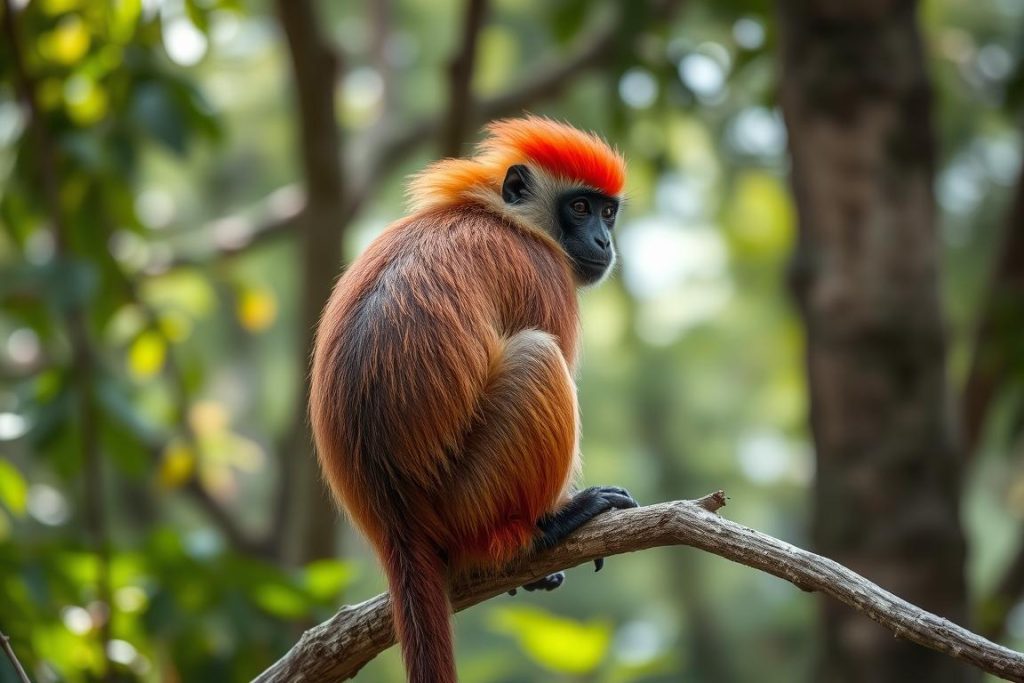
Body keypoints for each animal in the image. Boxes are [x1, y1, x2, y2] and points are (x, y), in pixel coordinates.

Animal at [309, 116, 637, 683]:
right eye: (579, 208)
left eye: (608, 212)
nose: (603, 239)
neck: (501, 216)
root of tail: (394, 519)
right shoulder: (544, 272)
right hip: (469, 500)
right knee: (537, 354)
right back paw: (543, 530)